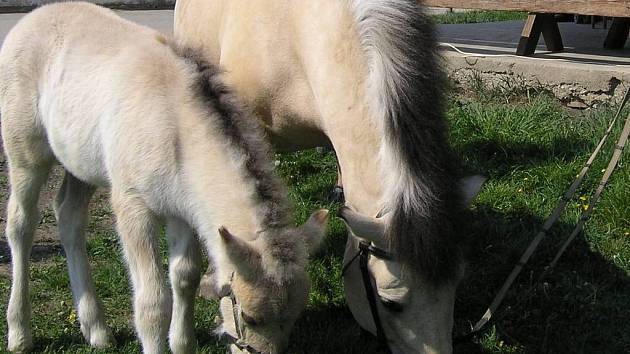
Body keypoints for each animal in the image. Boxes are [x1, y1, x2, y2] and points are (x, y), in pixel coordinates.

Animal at [3, 3, 330, 354]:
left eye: (295, 318)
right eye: (250, 317)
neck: (175, 130)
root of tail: (36, 16)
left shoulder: (183, 208)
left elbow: (185, 277)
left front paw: (181, 342)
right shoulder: (133, 206)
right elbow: (153, 301)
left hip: (80, 163)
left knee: (69, 217)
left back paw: (97, 330)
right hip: (25, 152)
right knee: (21, 223)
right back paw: (19, 333)